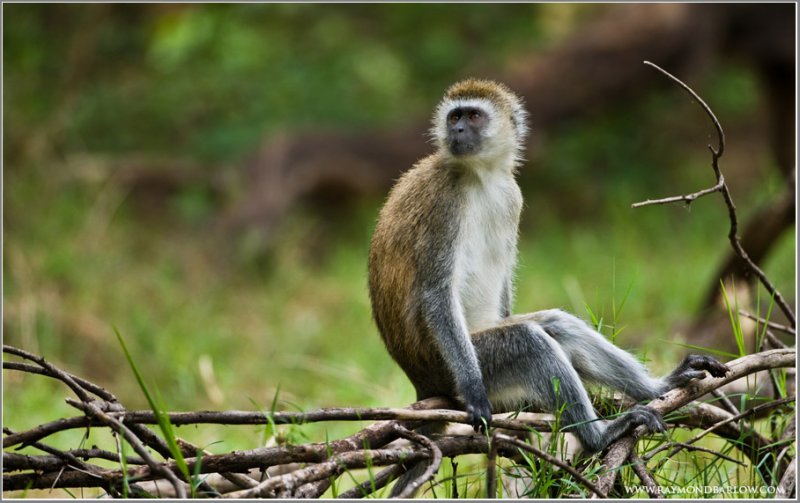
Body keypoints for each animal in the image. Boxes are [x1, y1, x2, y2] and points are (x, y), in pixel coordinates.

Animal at [368, 78, 732, 464]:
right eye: (455, 117)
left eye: (473, 116)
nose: (458, 131)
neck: (481, 176)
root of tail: (421, 384)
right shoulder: (443, 202)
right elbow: (437, 293)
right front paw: (475, 392)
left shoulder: (512, 196)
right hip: (447, 366)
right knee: (529, 342)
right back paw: (599, 437)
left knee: (558, 325)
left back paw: (658, 387)